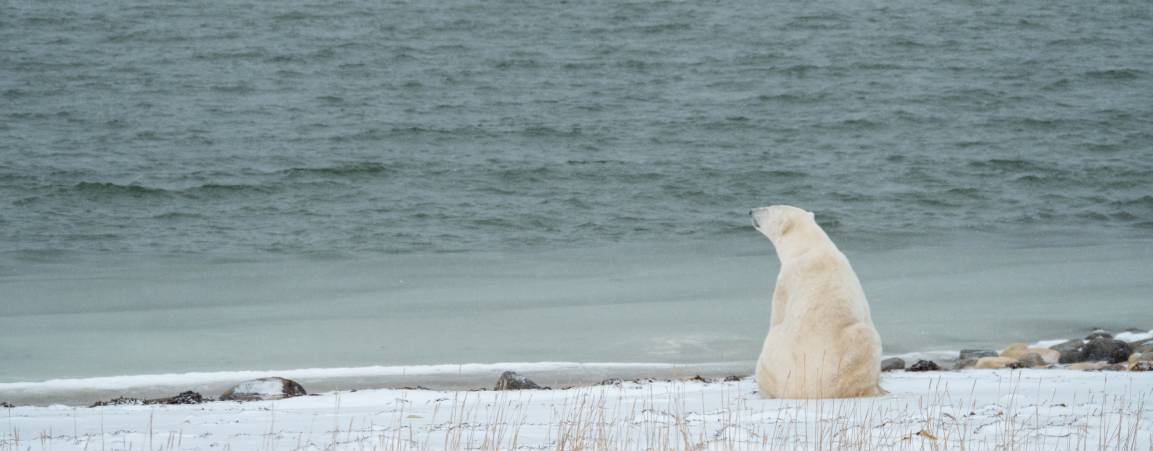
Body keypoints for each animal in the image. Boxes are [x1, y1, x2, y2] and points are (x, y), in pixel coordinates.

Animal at [747, 205, 880, 399]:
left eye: (768, 208)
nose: (750, 211)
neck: (810, 247)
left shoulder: (786, 281)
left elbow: (777, 316)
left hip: (777, 361)